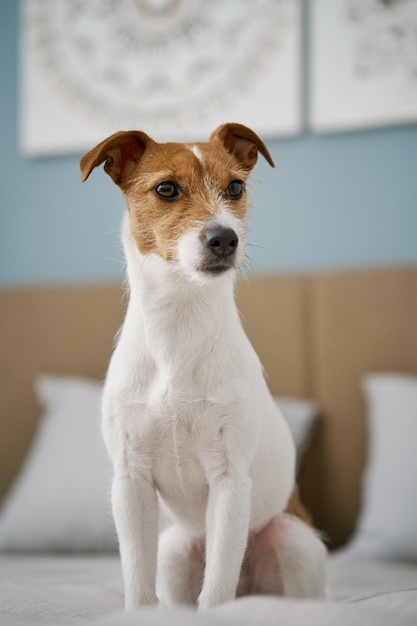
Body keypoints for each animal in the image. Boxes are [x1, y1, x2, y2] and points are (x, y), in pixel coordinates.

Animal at [79, 123, 326, 608]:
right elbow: (139, 585)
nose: (224, 238)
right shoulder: (130, 484)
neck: (179, 323)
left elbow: (216, 593)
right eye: (166, 189)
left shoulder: (230, 482)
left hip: (293, 540)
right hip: (175, 551)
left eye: (235, 188)